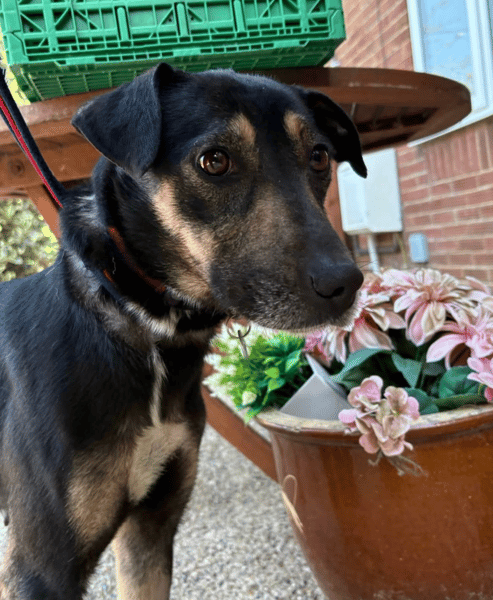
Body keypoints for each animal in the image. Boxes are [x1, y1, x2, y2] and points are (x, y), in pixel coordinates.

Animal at [0, 62, 366, 599]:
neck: (147, 329)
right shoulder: (40, 568)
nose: (344, 284)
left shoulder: (149, 530)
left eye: (319, 156)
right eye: (214, 161)